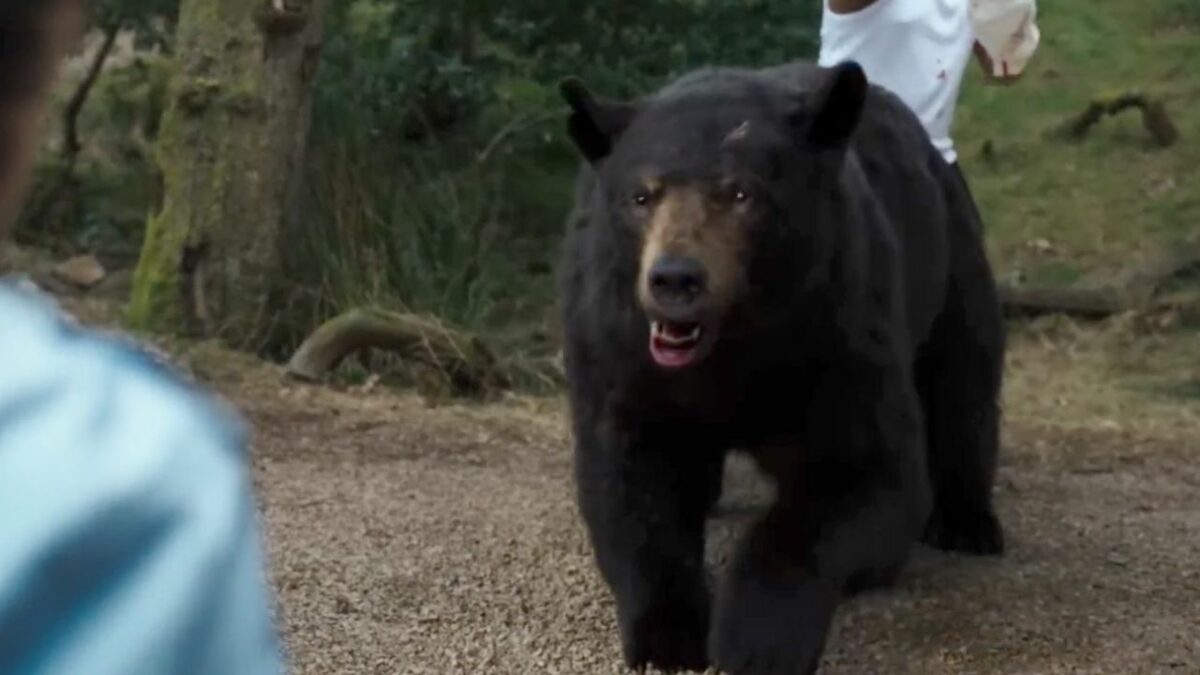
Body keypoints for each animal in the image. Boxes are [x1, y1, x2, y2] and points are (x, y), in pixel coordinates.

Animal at [556, 60, 1006, 675]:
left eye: (742, 192)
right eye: (641, 196)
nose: (675, 278)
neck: (738, 343)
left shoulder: (839, 330)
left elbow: (869, 476)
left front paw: (755, 643)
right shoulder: (619, 344)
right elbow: (631, 478)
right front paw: (668, 639)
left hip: (948, 255)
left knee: (963, 379)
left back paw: (968, 523)